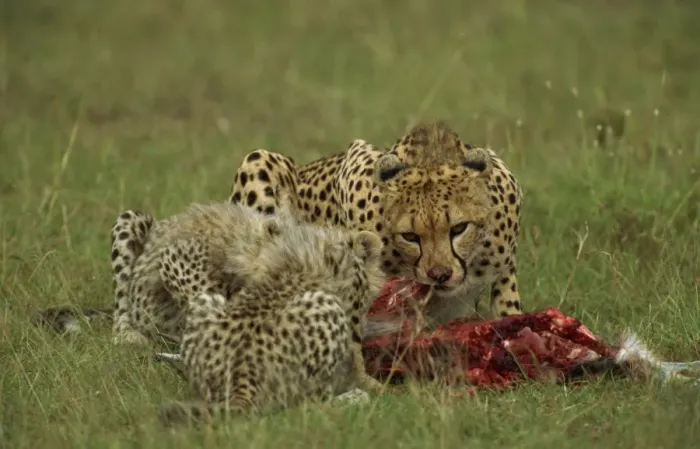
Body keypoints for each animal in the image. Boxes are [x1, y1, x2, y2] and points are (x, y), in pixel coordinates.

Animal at [156, 211, 386, 426]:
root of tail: (242, 375)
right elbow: (358, 364)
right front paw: (380, 390)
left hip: (205, 301)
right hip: (326, 308)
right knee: (307, 403)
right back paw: (354, 398)